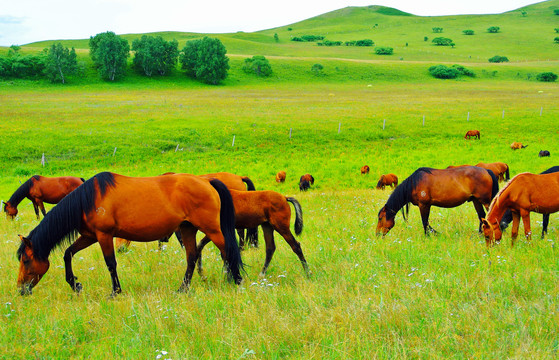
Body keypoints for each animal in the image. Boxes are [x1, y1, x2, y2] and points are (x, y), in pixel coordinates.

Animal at [14, 173, 243, 296]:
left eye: (25, 260)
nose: (21, 289)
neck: (88, 199)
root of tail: (208, 181)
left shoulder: (104, 236)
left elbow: (110, 264)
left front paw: (115, 292)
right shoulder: (90, 236)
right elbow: (68, 253)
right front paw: (75, 284)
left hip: (212, 229)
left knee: (228, 251)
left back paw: (235, 281)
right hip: (187, 228)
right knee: (192, 257)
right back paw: (183, 289)